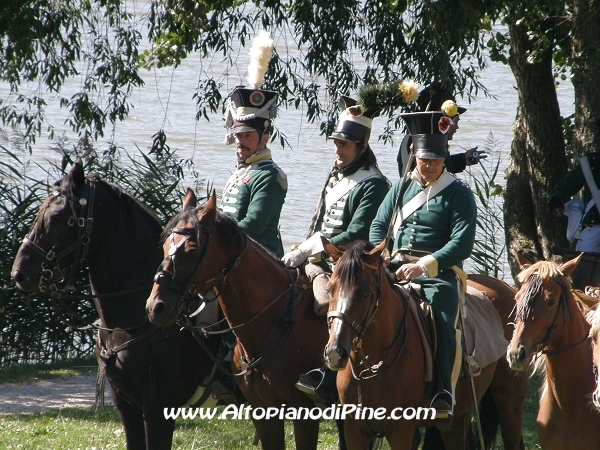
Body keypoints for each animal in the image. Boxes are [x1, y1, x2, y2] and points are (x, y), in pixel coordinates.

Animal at [146, 191, 338, 450]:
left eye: (193, 251)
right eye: (166, 245)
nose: (155, 307)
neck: (279, 317)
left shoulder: (305, 413)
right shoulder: (263, 411)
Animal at [322, 239, 528, 450]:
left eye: (365, 294)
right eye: (329, 290)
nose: (335, 353)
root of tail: (508, 287)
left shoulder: (401, 431)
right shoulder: (355, 431)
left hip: (509, 400)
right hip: (457, 418)